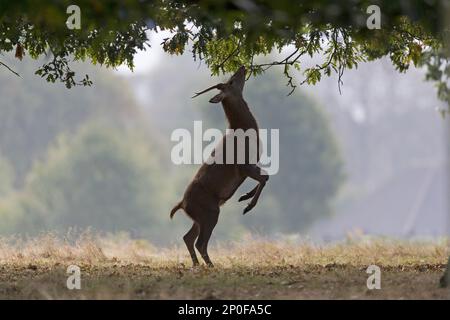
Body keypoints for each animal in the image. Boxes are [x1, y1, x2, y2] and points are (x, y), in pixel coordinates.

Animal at [169, 65, 268, 268]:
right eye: (231, 81)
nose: (242, 66)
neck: (244, 131)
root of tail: (182, 204)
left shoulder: (251, 166)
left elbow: (265, 177)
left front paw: (244, 196)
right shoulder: (244, 166)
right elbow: (265, 178)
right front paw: (247, 206)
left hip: (199, 217)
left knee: (187, 237)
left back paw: (197, 265)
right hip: (211, 211)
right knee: (200, 242)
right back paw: (211, 266)